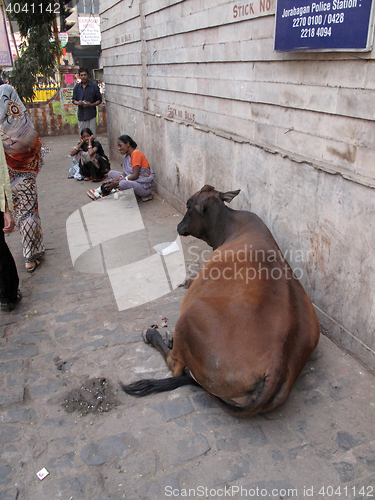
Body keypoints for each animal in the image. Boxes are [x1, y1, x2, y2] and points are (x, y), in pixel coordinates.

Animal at [121, 186, 320, 416]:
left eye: (189, 205)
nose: (179, 226)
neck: (230, 225)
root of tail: (277, 364)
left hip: (190, 317)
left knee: (175, 364)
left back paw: (153, 335)